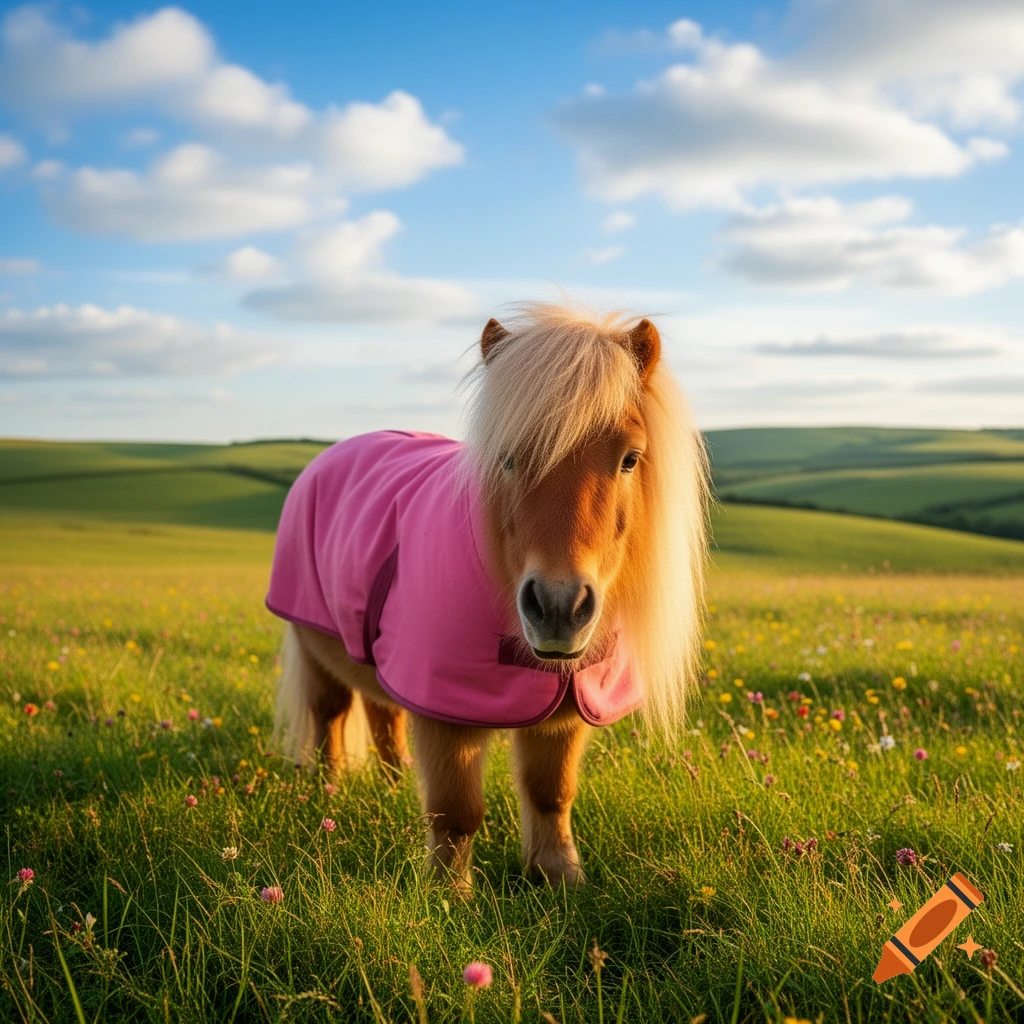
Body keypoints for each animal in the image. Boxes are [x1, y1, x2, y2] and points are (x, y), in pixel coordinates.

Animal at [268, 302, 709, 891]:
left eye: (631, 458)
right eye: (507, 457)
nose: (557, 608)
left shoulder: (565, 712)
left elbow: (552, 794)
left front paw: (559, 875)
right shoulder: (443, 708)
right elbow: (457, 811)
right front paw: (447, 895)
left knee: (382, 715)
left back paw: (391, 784)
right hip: (316, 648)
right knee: (331, 718)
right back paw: (332, 792)